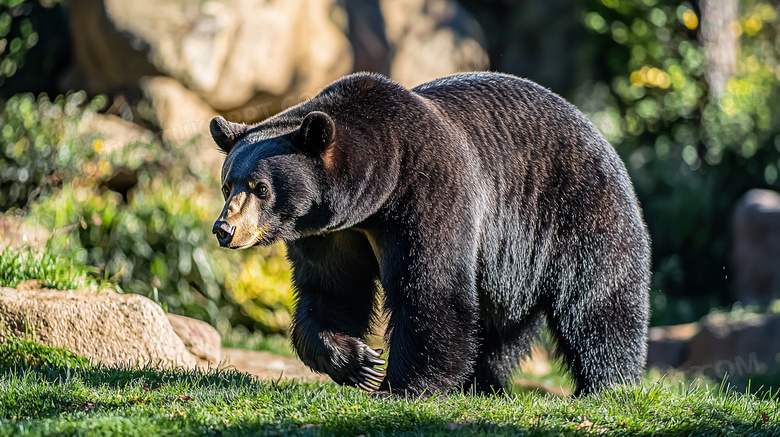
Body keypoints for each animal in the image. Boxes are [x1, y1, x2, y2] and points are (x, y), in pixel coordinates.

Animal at [210, 71, 648, 396]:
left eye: (260, 187)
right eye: (228, 184)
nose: (224, 229)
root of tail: (598, 133)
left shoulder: (429, 192)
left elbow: (431, 288)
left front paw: (401, 385)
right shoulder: (331, 232)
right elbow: (331, 289)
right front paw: (359, 361)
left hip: (578, 211)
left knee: (599, 301)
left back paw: (607, 384)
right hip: (513, 269)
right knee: (499, 327)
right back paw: (481, 383)